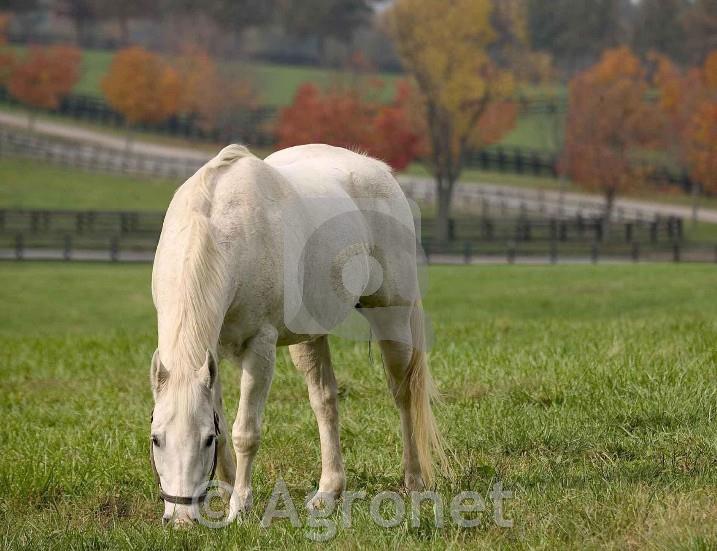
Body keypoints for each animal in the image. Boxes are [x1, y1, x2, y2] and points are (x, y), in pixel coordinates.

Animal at [149, 143, 444, 528]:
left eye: (205, 440)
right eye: (156, 439)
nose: (181, 519)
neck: (222, 231)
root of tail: (380, 170)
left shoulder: (260, 348)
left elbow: (245, 432)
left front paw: (240, 507)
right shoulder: (210, 354)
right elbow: (227, 423)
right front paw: (225, 495)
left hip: (391, 318)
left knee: (404, 394)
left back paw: (414, 481)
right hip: (310, 337)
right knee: (325, 401)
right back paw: (328, 492)